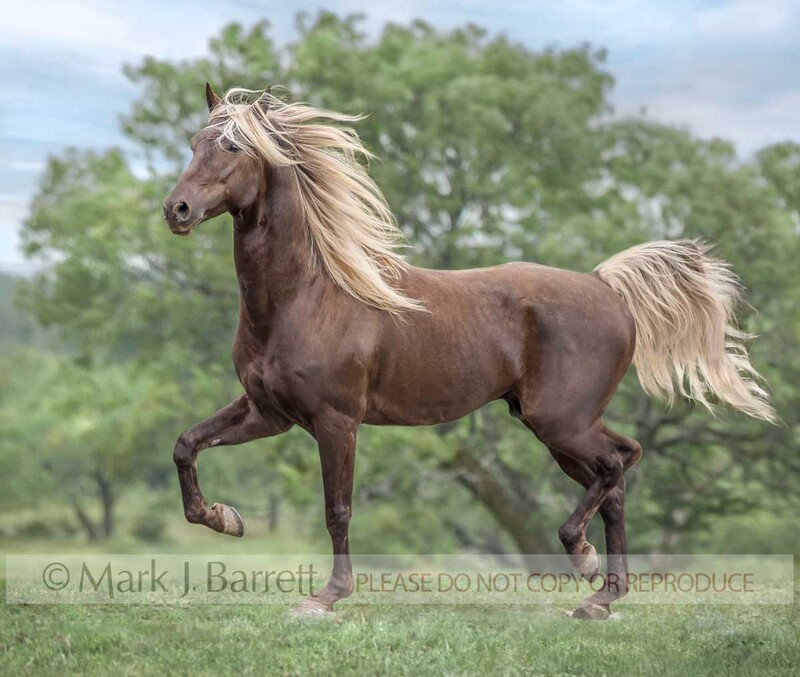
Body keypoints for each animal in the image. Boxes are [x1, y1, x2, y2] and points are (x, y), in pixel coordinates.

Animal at [163, 84, 775, 620]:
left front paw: (326, 597)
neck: (308, 294)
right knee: (618, 477)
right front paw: (225, 519)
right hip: (558, 428)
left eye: (233, 146)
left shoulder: (336, 421)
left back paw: (582, 559)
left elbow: (337, 509)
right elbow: (186, 445)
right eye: (194, 142)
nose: (177, 209)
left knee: (620, 462)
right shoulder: (269, 413)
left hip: (561, 422)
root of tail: (606, 287)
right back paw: (600, 599)